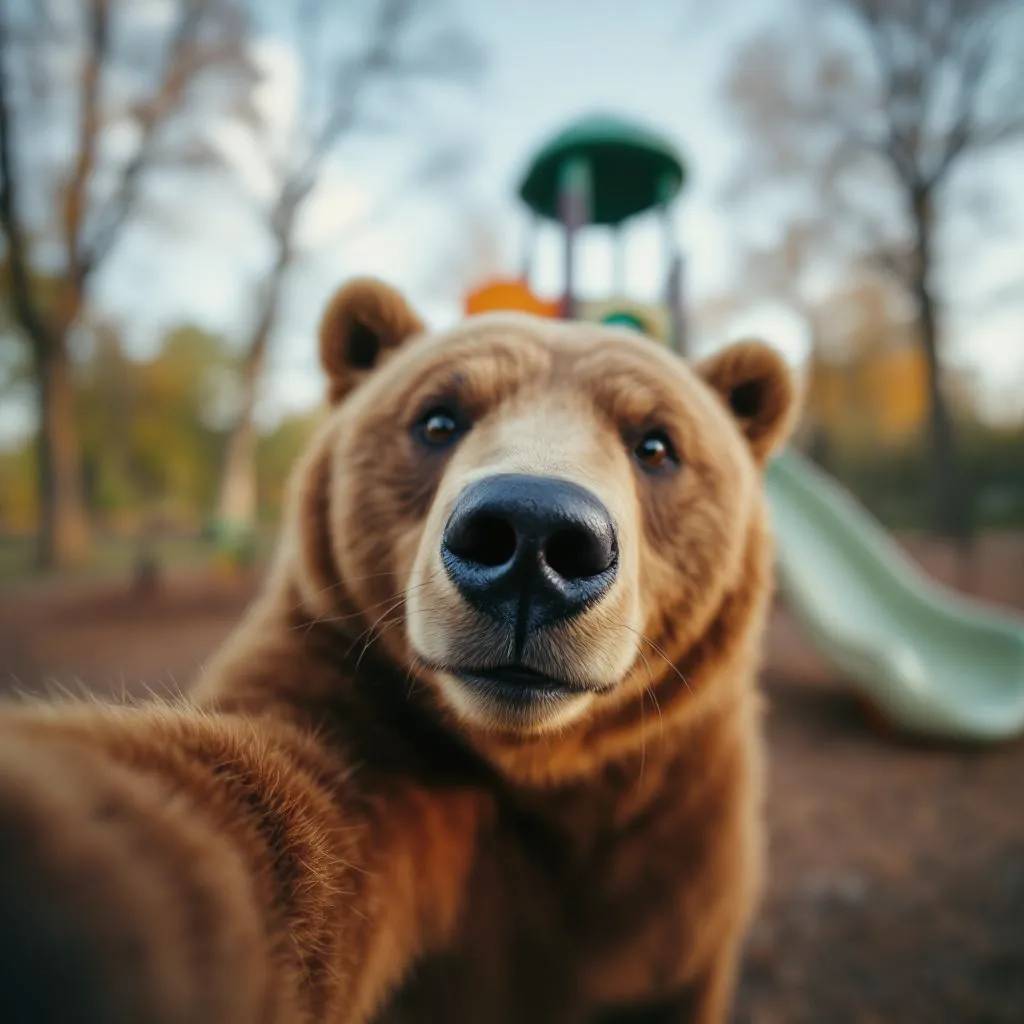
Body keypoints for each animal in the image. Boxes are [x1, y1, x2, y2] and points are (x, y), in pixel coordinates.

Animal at [0, 278, 797, 1024]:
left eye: (656, 443)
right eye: (438, 417)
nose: (533, 533)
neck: (528, 761)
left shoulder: (674, 849)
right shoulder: (357, 713)